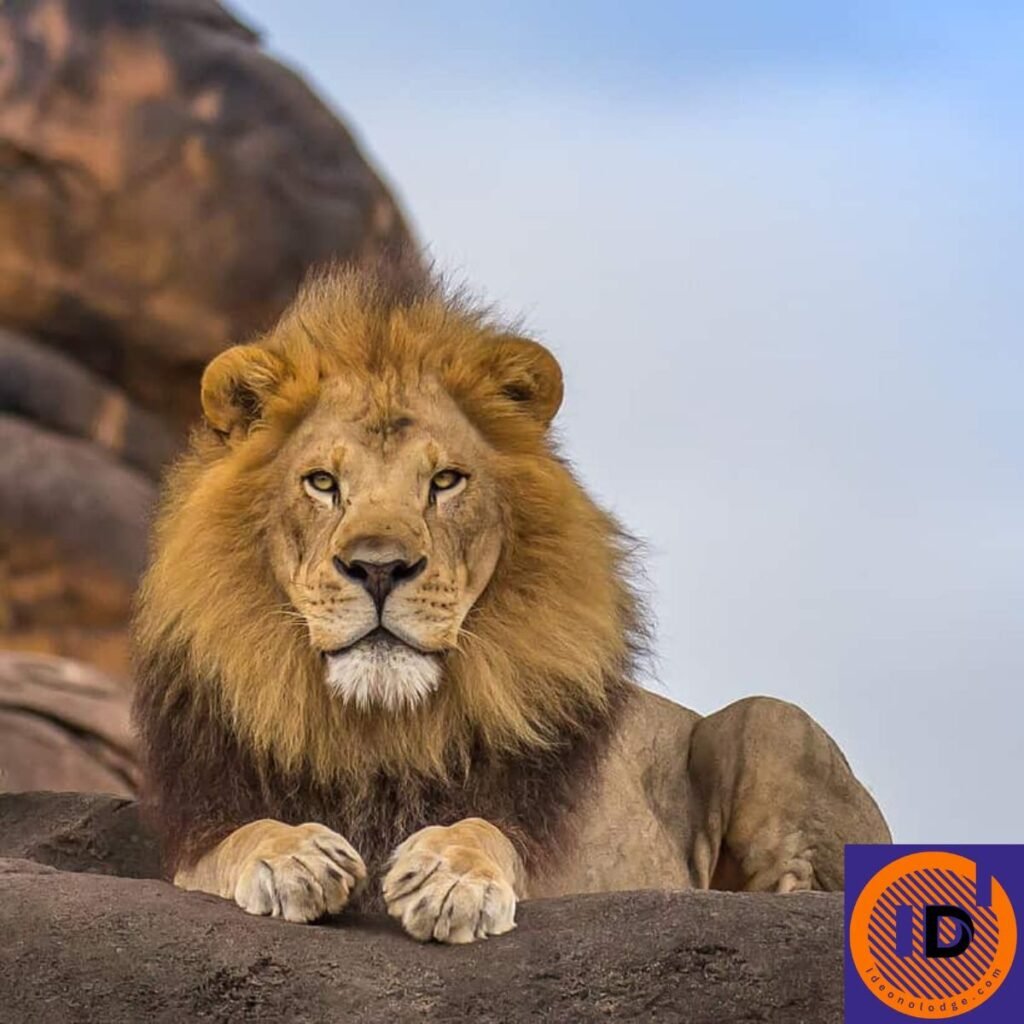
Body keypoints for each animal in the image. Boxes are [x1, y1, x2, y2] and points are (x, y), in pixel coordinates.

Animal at [133, 268, 890, 944]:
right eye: (321, 483)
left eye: (445, 481)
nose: (379, 567)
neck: (380, 728)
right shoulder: (200, 831)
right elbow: (239, 838)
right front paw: (293, 855)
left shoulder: (558, 856)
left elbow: (485, 829)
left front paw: (449, 875)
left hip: (769, 721)